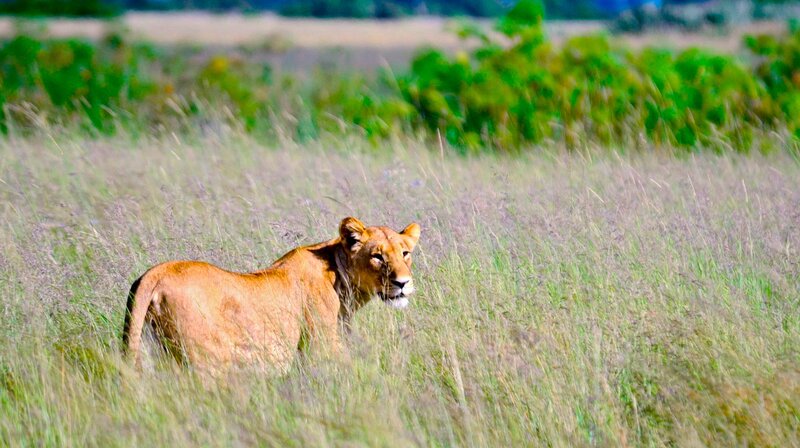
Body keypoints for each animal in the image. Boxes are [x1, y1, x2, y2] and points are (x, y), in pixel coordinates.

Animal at [122, 217, 420, 373]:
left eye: (405, 253)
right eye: (377, 257)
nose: (403, 282)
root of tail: (155, 272)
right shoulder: (321, 345)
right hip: (207, 360)